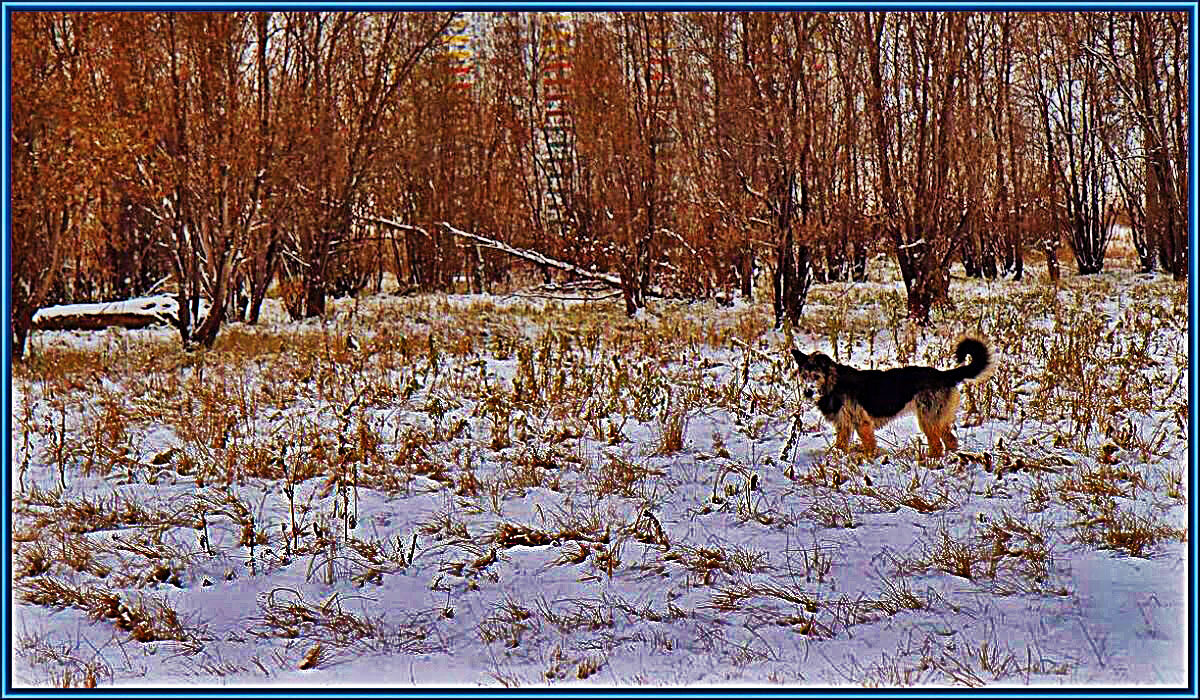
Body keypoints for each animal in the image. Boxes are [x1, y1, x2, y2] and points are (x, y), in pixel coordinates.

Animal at [796, 338, 993, 461]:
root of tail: (944, 375)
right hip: (938, 420)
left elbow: (869, 445)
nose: (807, 392)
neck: (835, 383)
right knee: (950, 441)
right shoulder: (844, 426)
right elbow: (840, 447)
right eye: (804, 376)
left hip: (928, 420)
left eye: (816, 376)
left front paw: (868, 461)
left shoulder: (862, 423)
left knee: (937, 446)